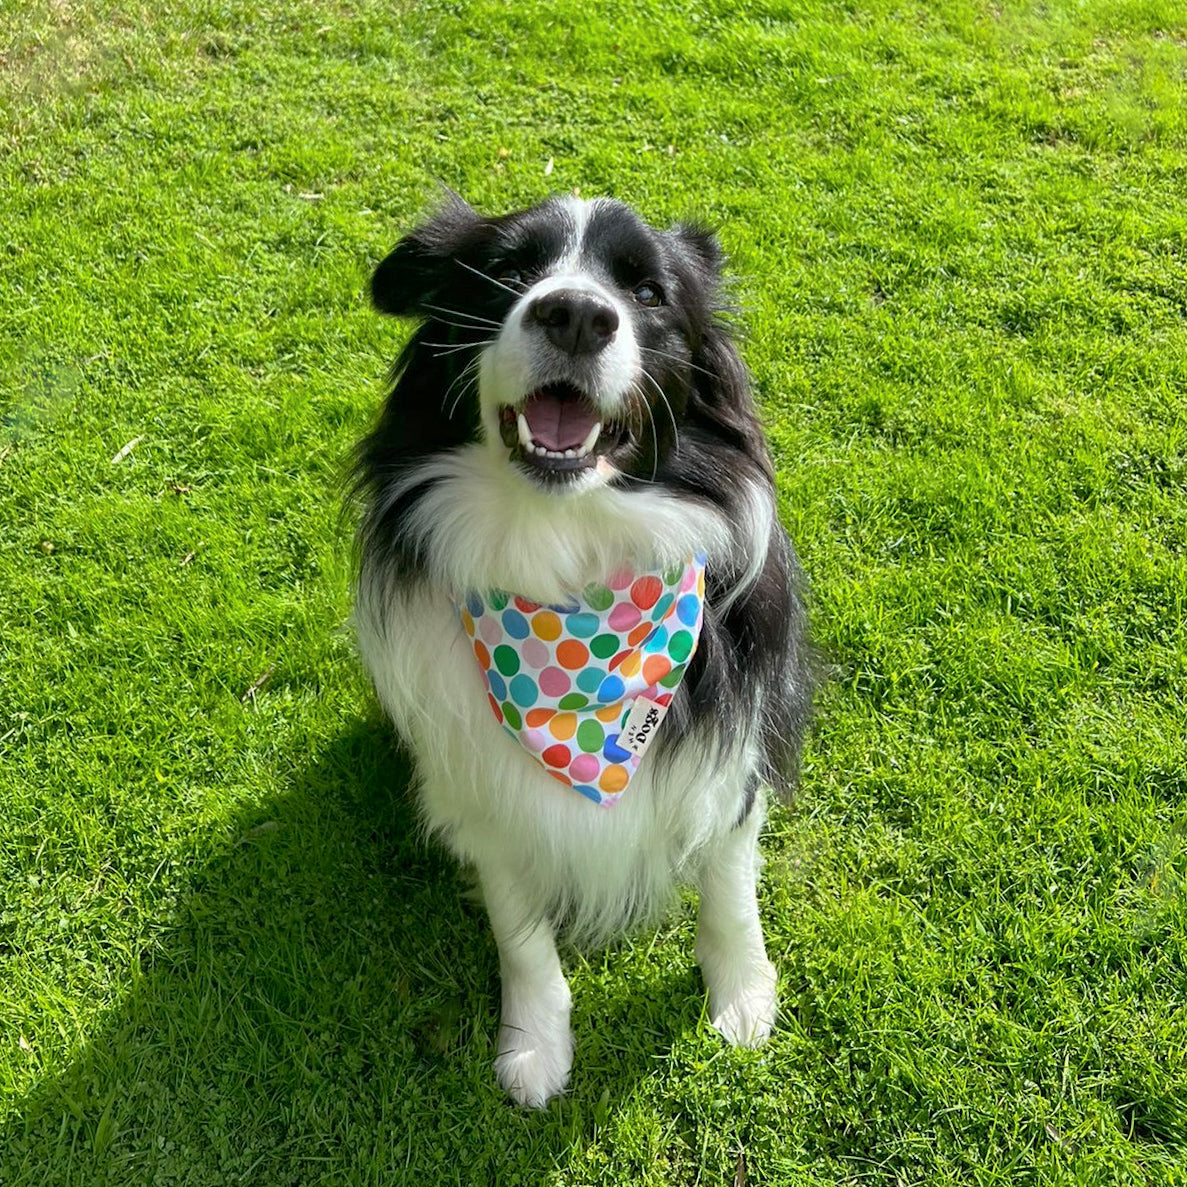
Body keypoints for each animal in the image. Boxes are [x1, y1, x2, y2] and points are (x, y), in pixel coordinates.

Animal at [351, 189, 811, 1106]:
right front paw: (534, 1042)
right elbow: (519, 927)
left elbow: (728, 883)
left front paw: (742, 996)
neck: (565, 562)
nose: (574, 314)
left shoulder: (729, 755)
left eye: (647, 293)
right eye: (510, 271)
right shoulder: (481, 788)